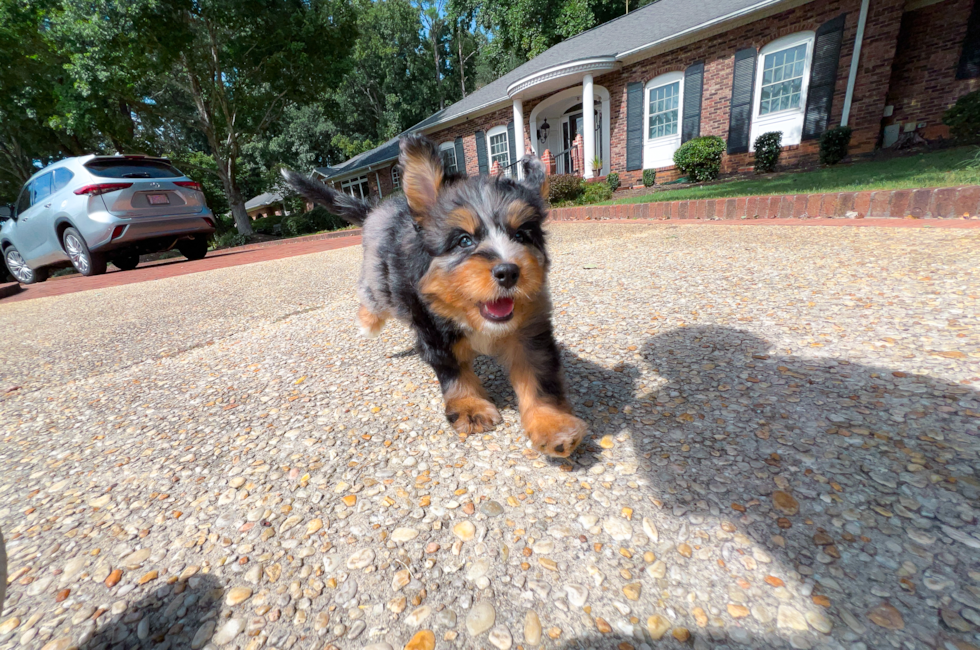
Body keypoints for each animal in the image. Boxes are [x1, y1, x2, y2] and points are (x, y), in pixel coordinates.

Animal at [286, 133, 588, 456]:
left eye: (521, 235)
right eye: (464, 240)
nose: (508, 272)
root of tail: (380, 210)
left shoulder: (529, 332)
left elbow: (537, 379)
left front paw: (552, 424)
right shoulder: (433, 330)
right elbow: (454, 373)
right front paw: (470, 407)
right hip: (380, 279)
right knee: (372, 296)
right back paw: (368, 324)